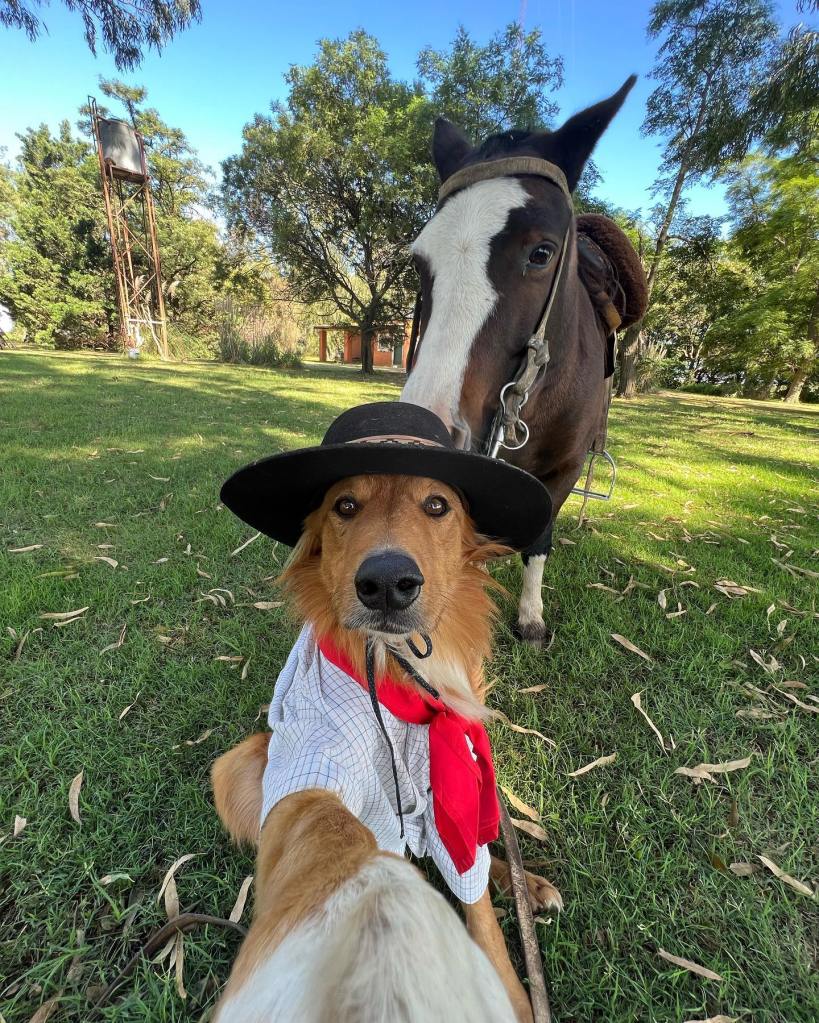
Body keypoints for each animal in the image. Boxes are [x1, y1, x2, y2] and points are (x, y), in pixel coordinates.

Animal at [402, 79, 638, 642]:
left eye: (542, 253)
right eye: (419, 260)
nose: (429, 433)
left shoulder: (564, 471)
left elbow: (539, 541)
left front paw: (530, 616)